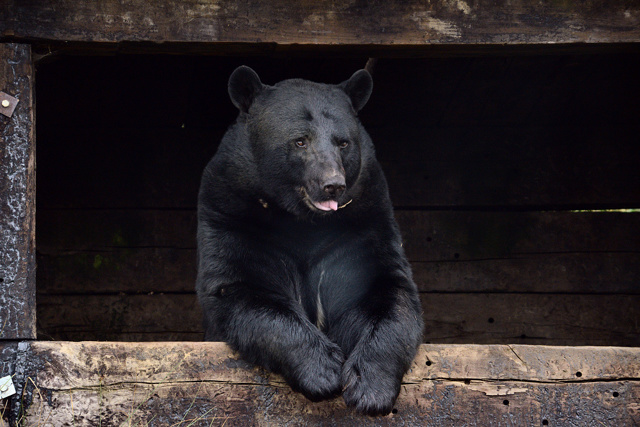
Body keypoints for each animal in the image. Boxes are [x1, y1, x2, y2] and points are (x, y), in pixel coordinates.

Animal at [198, 67, 422, 418]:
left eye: (343, 142)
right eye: (300, 140)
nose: (333, 185)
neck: (302, 221)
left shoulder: (364, 222)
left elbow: (386, 294)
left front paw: (370, 389)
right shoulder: (230, 216)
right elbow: (246, 290)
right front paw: (323, 370)